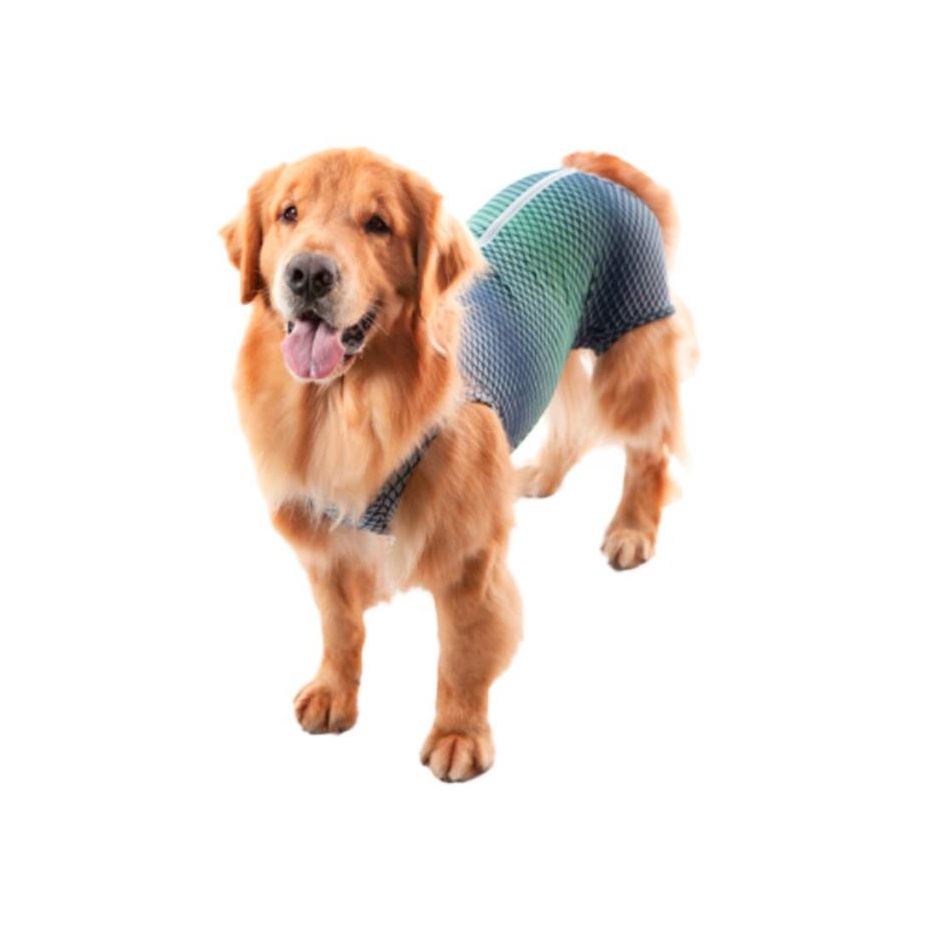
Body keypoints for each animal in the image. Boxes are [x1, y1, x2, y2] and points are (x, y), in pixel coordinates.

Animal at [221, 148, 695, 781]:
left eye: (378, 224)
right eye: (288, 213)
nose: (309, 274)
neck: (349, 406)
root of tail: (590, 167)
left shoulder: (469, 552)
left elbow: (463, 652)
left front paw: (459, 735)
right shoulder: (324, 535)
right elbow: (339, 625)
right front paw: (334, 692)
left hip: (631, 342)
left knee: (647, 449)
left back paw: (631, 530)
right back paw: (538, 475)